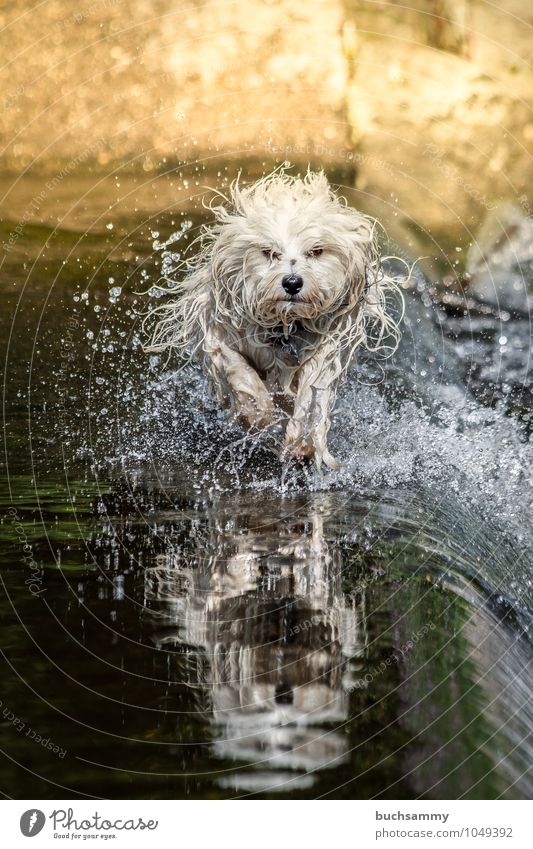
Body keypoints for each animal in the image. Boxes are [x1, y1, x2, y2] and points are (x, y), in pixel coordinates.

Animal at [145, 168, 400, 468]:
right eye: (269, 252)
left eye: (316, 251)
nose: (292, 282)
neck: (284, 326)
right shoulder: (220, 334)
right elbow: (241, 373)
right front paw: (261, 415)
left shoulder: (323, 350)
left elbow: (311, 397)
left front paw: (302, 441)